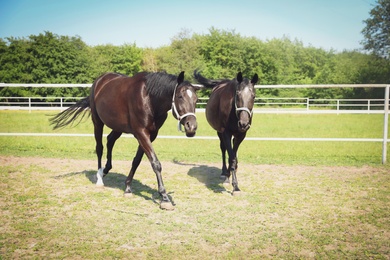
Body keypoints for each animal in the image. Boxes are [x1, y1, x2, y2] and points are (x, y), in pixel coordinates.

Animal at [50, 71, 200, 209]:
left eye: (196, 99)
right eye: (180, 96)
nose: (191, 127)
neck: (149, 99)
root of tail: (100, 80)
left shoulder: (151, 135)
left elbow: (137, 161)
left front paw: (128, 188)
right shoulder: (141, 133)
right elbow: (155, 163)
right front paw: (164, 198)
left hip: (118, 126)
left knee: (110, 140)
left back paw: (106, 169)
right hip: (97, 122)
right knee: (99, 148)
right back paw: (99, 177)